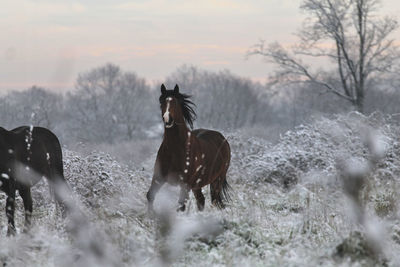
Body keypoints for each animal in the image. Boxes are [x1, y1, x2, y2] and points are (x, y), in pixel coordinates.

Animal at [146, 85, 231, 213]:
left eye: (175, 102)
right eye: (161, 101)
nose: (167, 119)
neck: (174, 150)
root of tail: (223, 139)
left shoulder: (185, 184)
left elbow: (181, 205)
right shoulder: (158, 178)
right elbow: (150, 195)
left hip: (217, 179)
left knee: (216, 201)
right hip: (198, 185)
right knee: (201, 200)